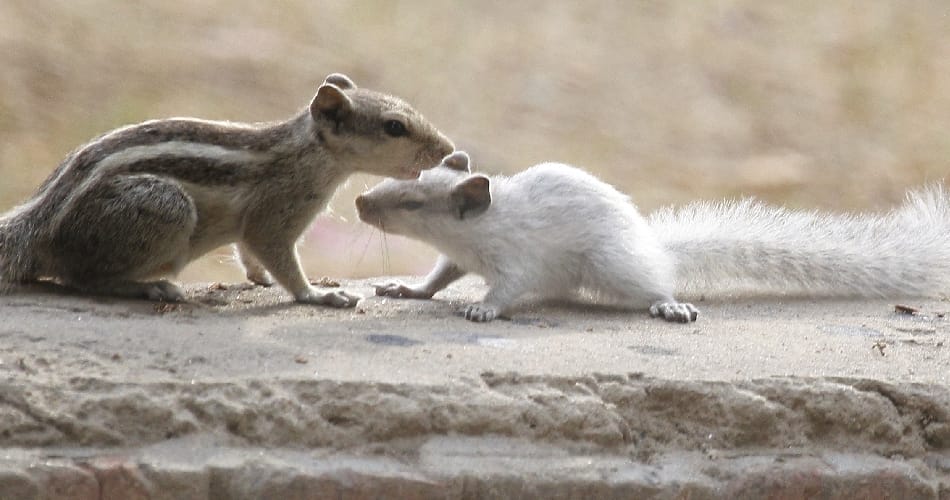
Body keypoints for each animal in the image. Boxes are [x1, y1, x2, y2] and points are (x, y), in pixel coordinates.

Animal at [0, 73, 454, 306]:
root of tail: (37, 223)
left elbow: (249, 254)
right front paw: (317, 294)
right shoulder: (275, 216)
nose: (447, 149)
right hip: (167, 205)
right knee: (80, 277)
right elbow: (277, 256)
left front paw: (261, 279)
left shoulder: (254, 227)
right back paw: (149, 287)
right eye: (394, 127)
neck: (308, 151)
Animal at [355, 151, 950, 323]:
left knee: (656, 284)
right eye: (400, 179)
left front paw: (484, 309)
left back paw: (669, 304)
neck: (479, 228)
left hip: (612, 265)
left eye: (411, 203)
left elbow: (507, 288)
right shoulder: (456, 258)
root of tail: (652, 248)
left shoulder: (517, 259)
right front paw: (409, 290)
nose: (361, 203)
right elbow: (439, 277)